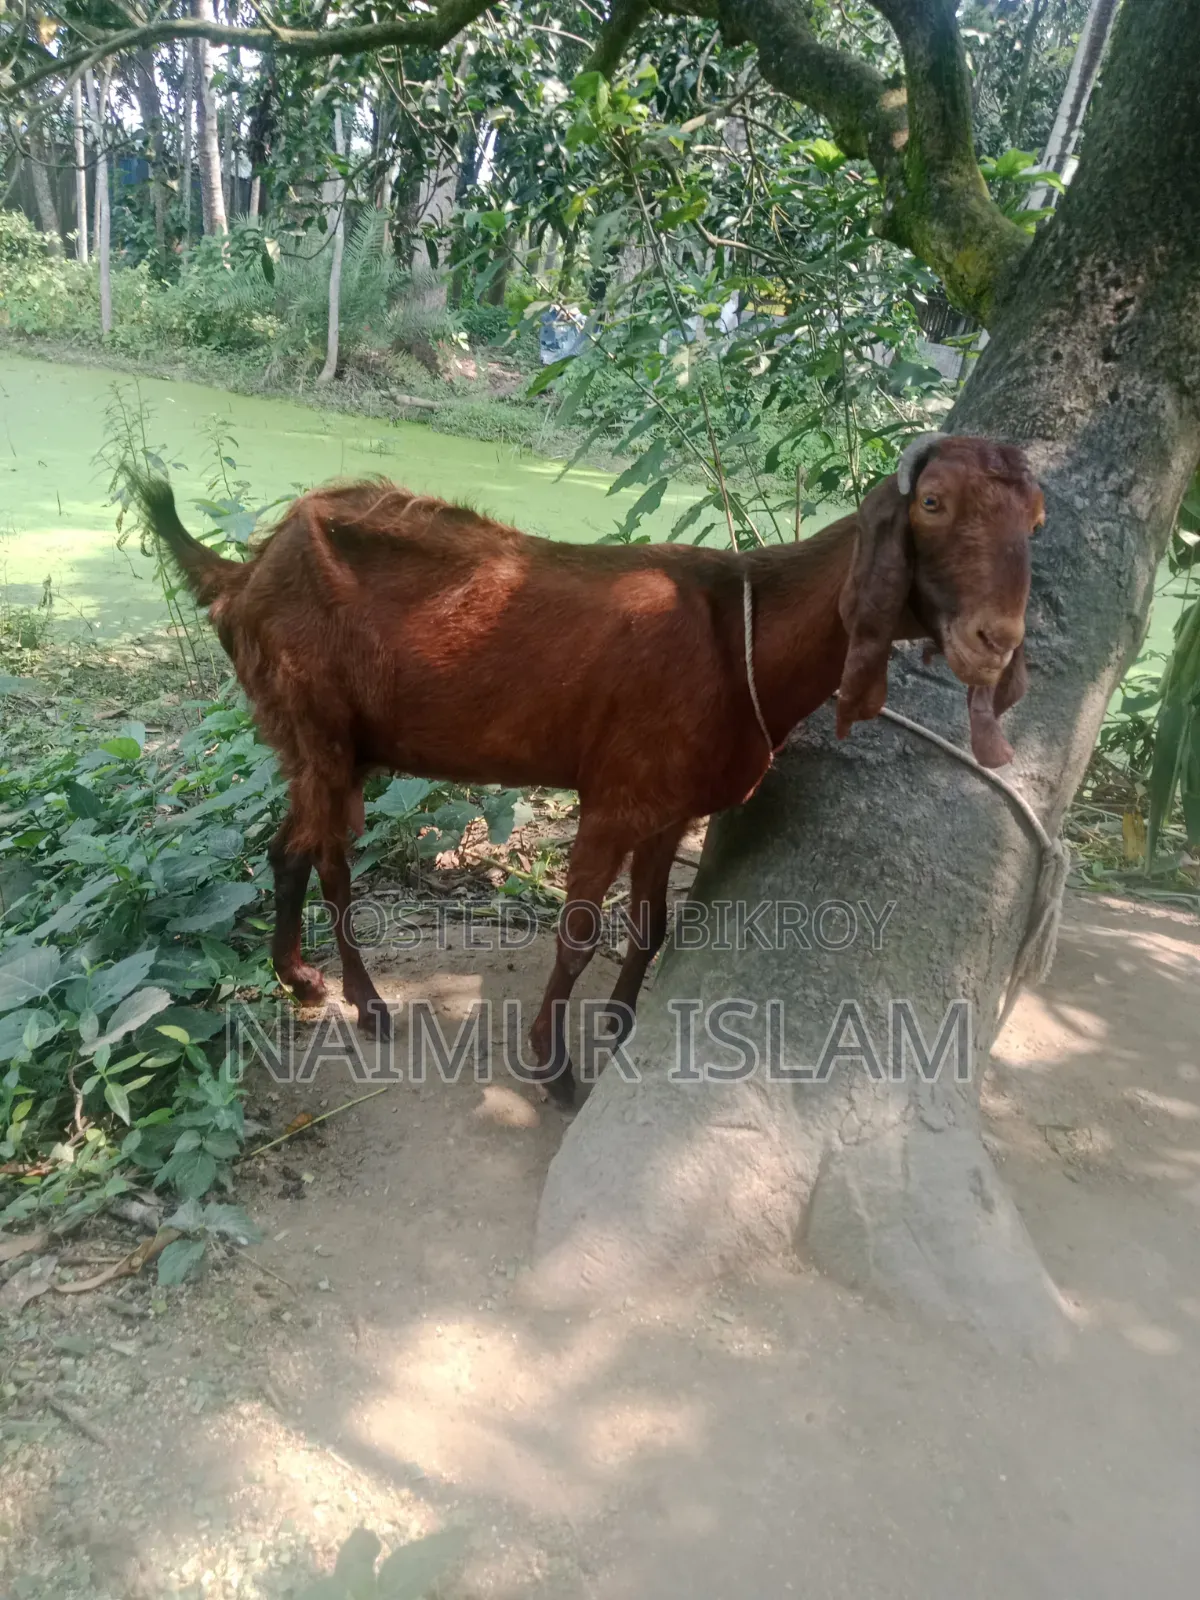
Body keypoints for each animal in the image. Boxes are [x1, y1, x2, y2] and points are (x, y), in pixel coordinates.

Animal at [132, 432, 1044, 1106]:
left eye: (1034, 520)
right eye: (932, 503)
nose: (996, 640)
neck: (740, 636)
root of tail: (240, 574)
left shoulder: (671, 806)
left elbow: (651, 925)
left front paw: (622, 1025)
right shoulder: (614, 798)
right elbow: (576, 935)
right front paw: (553, 1069)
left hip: (326, 744)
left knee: (297, 850)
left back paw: (307, 981)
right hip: (314, 725)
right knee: (320, 857)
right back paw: (360, 1000)